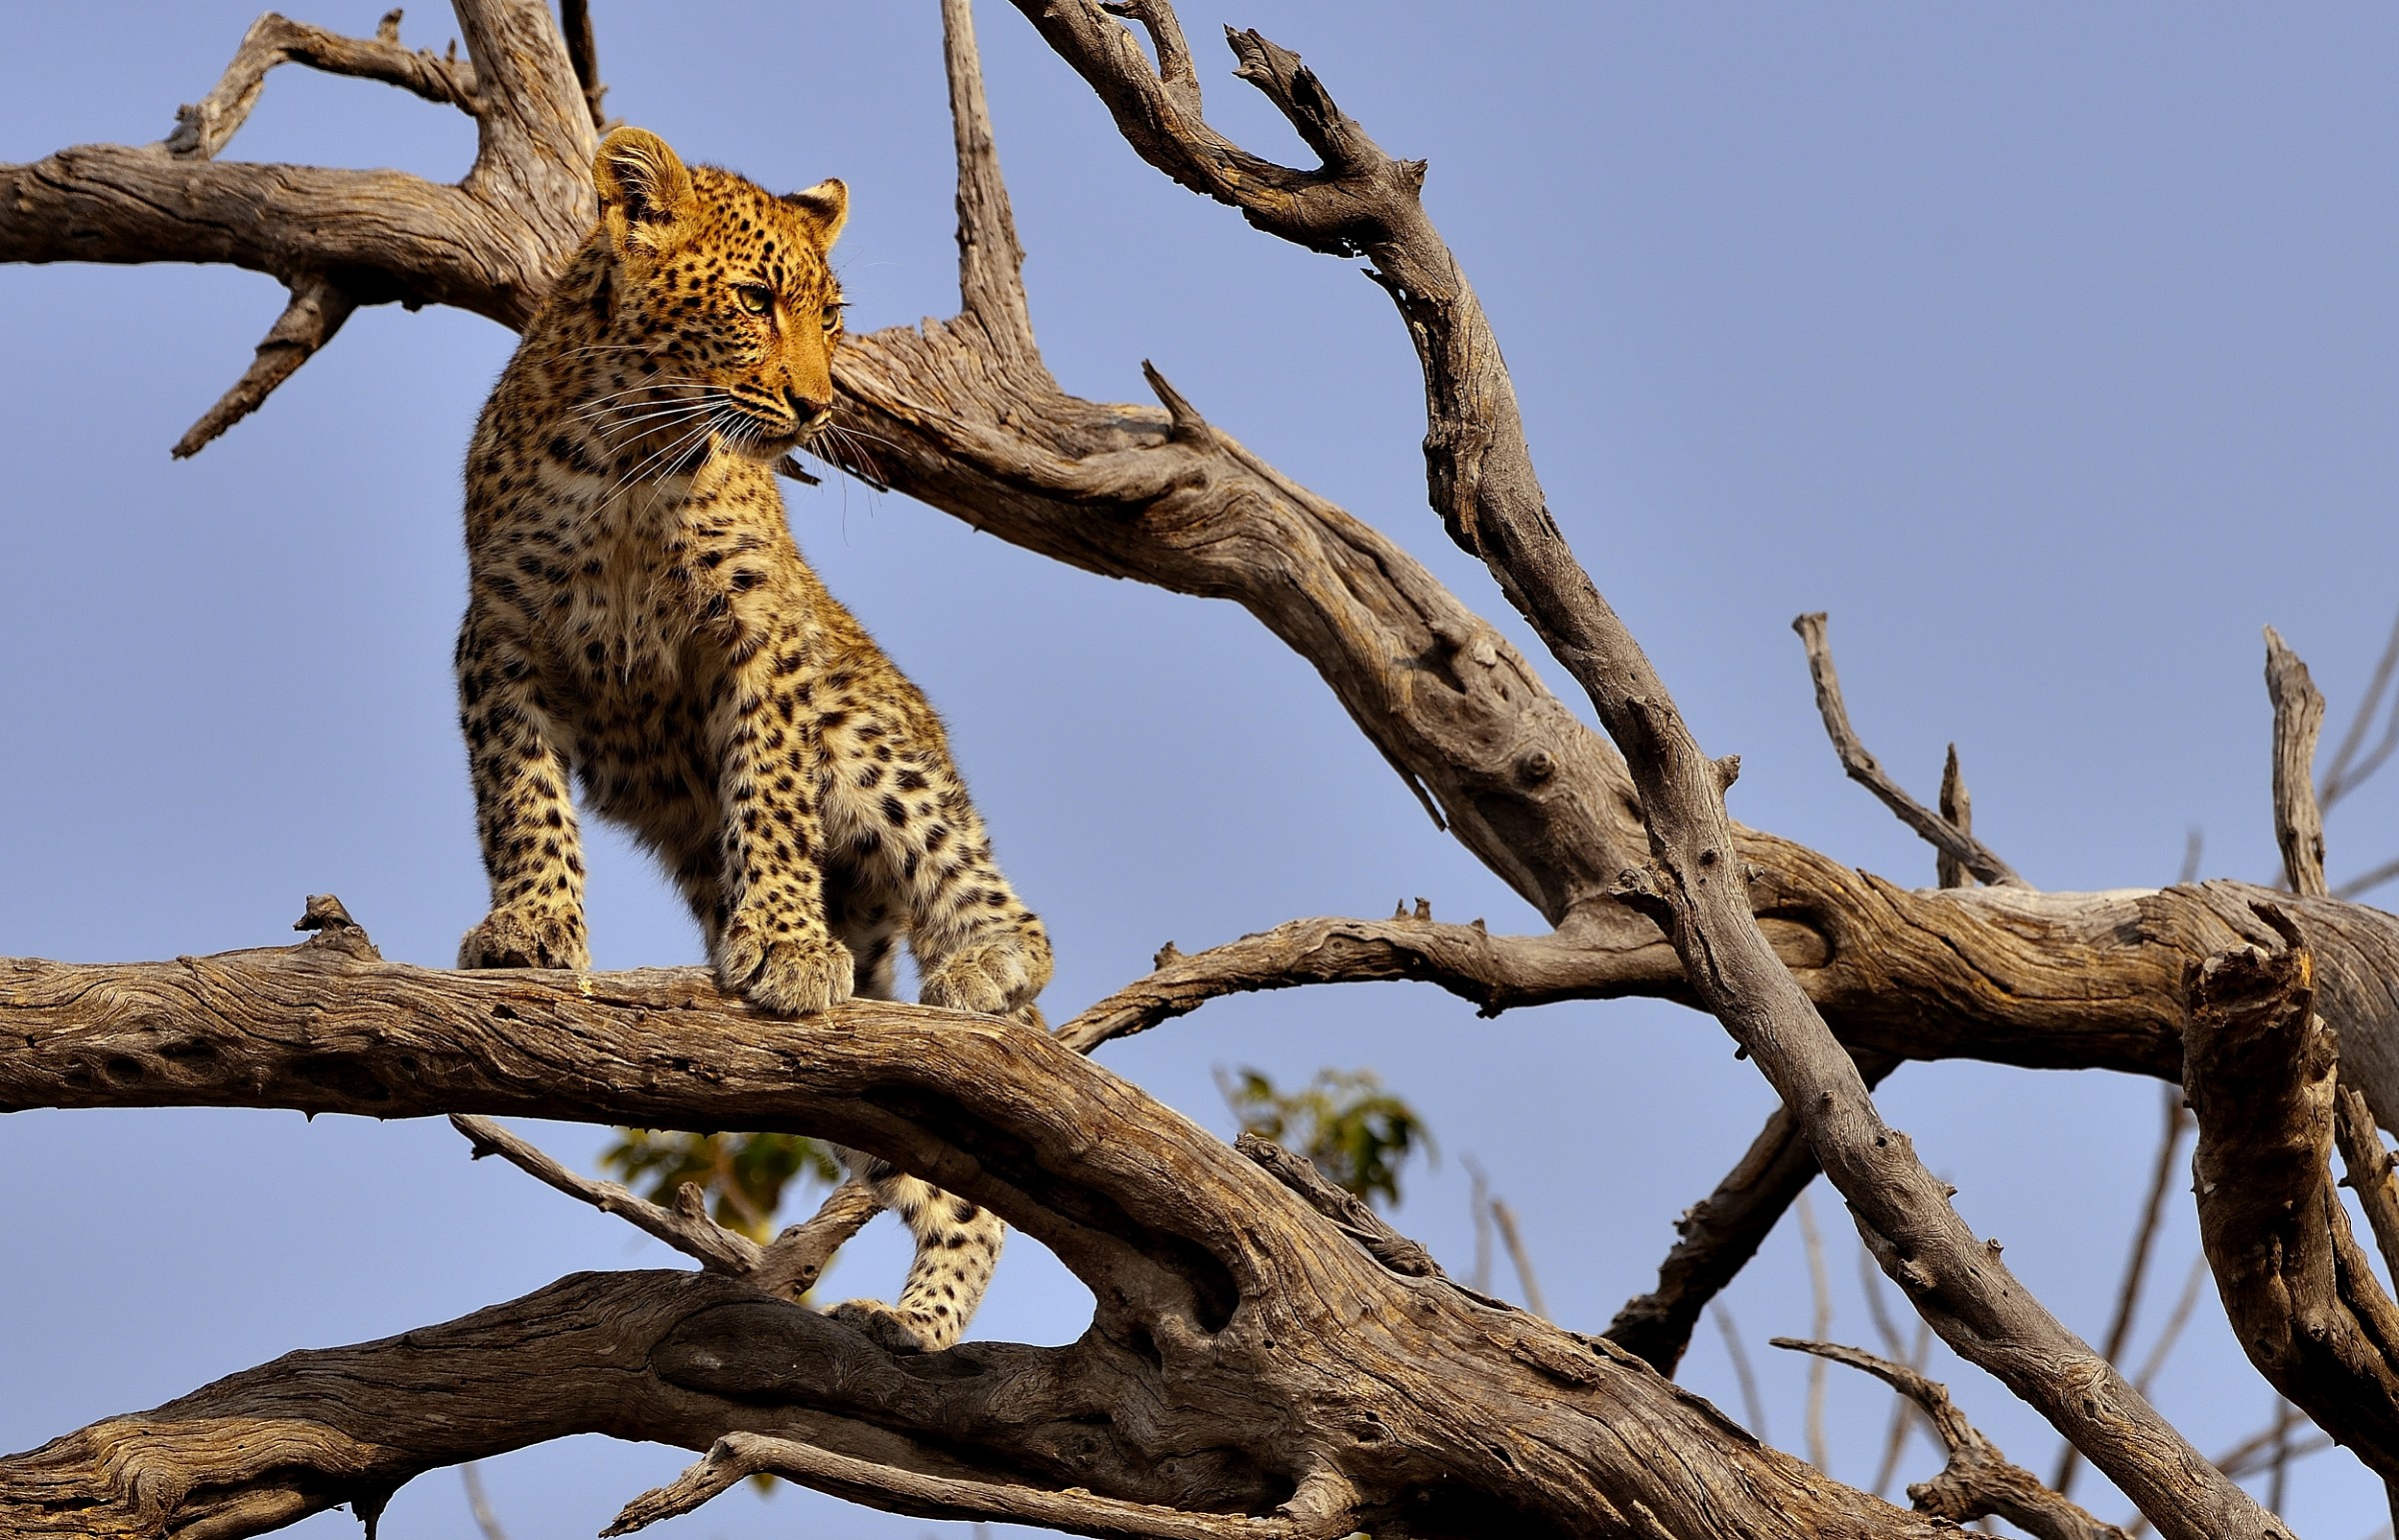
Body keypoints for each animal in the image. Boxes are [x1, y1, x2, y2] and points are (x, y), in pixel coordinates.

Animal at [452, 126, 1051, 1353]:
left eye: (831, 316)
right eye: (754, 299)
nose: (816, 405)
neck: (633, 456)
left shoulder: (759, 629)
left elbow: (767, 793)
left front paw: (779, 940)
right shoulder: (501, 631)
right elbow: (519, 795)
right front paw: (532, 927)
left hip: (874, 732)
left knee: (994, 906)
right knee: (935, 1174)